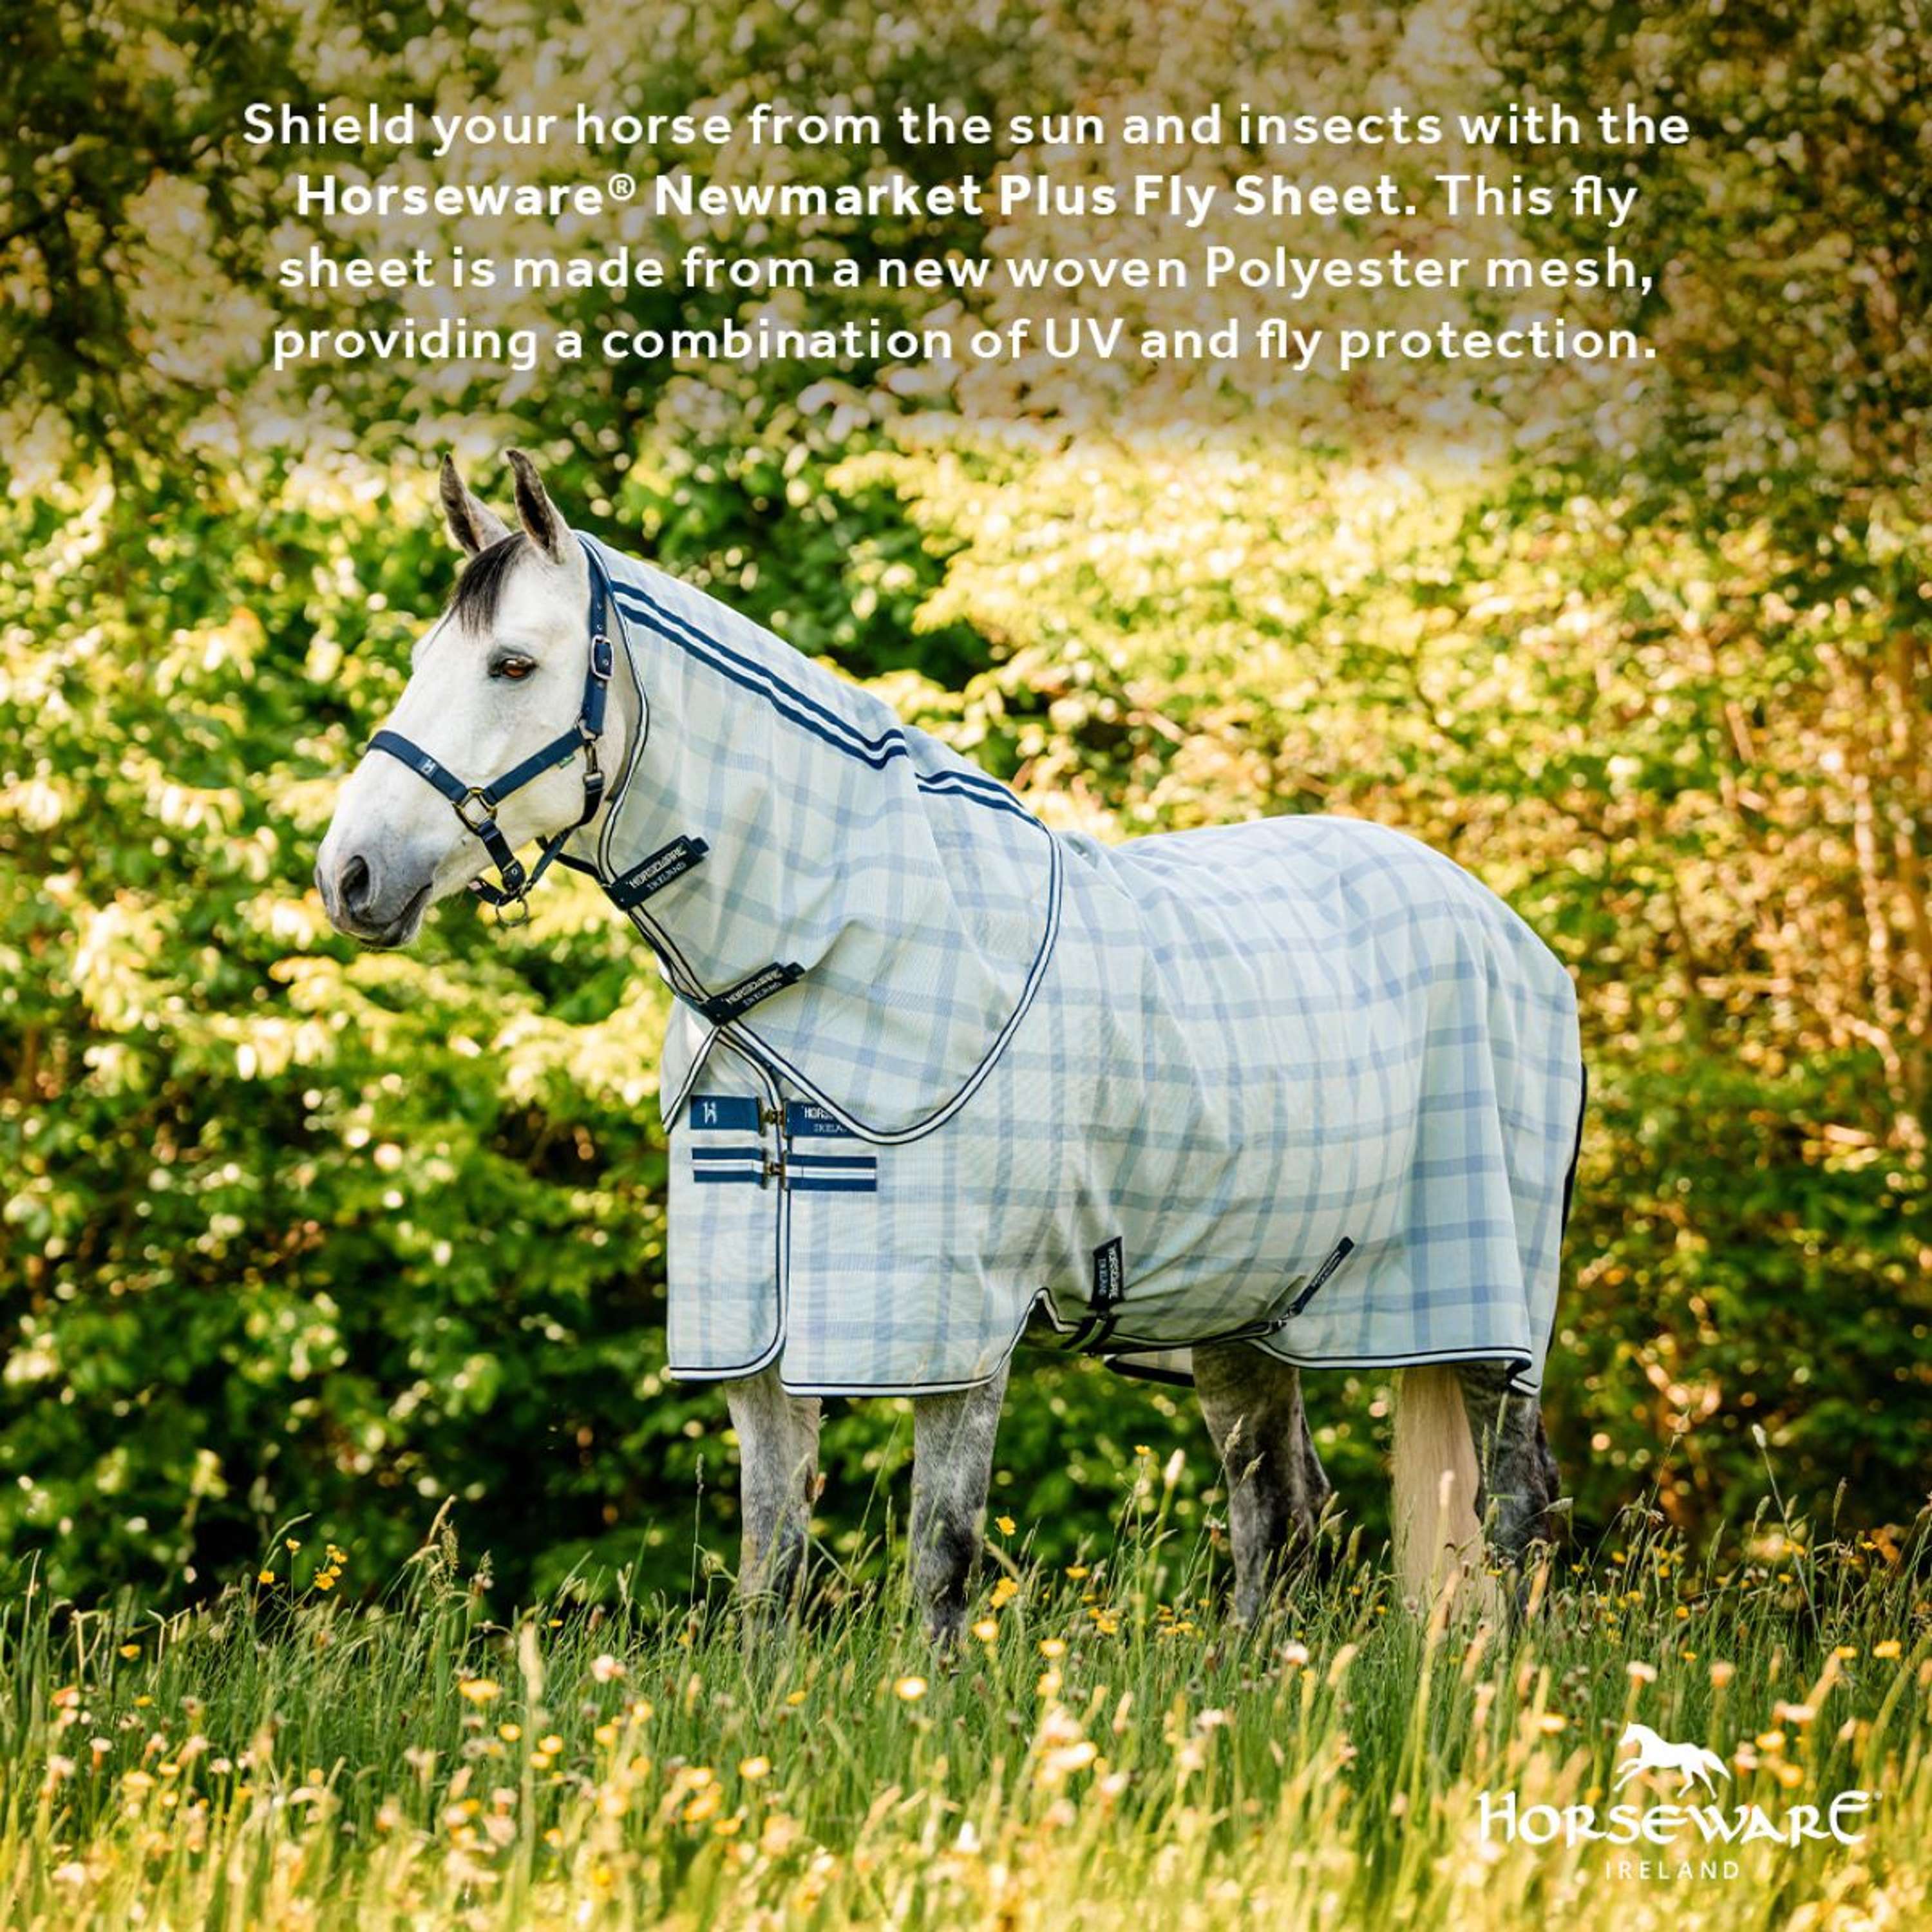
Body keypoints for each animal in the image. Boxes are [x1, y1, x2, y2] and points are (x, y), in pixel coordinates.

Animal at [315, 451, 1585, 1640]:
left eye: (512, 666)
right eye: (426, 661)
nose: (351, 876)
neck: (820, 966)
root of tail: (1511, 933)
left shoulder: (957, 1329)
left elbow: (939, 1558)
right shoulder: (759, 1342)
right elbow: (769, 1568)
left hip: (1492, 1322)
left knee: (1513, 1512)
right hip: (1249, 1312)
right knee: (1278, 1512)